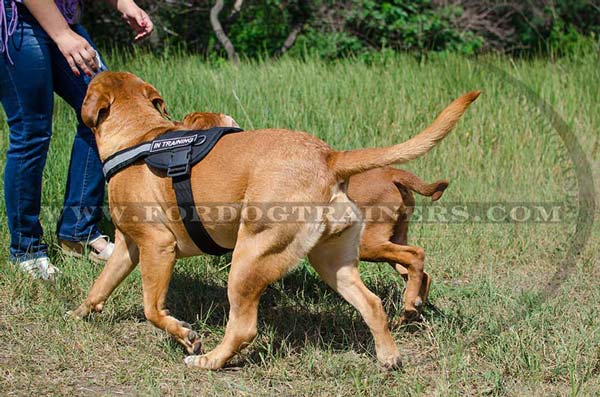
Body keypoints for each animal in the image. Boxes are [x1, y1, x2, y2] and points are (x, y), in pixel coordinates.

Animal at [180, 110, 448, 318]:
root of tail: (394, 174)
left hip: (370, 243)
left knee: (416, 256)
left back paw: (410, 306)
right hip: (391, 240)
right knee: (421, 273)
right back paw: (410, 311)